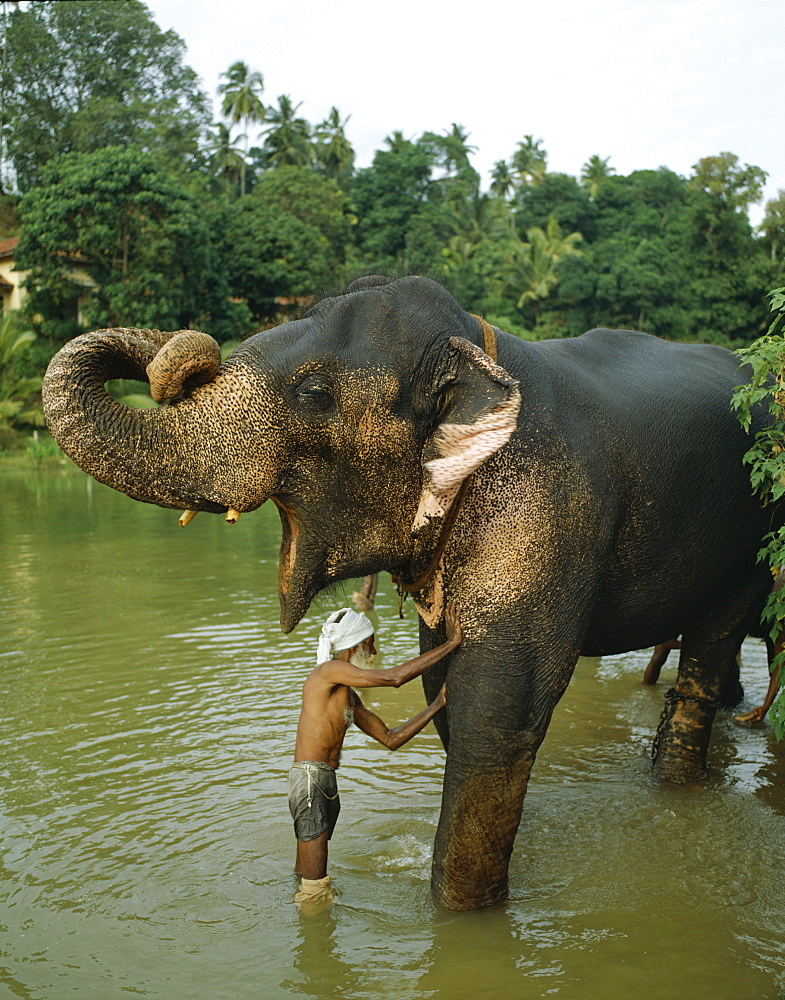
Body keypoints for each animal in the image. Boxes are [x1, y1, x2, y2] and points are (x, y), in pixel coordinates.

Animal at [44, 276, 784, 916]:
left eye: (314, 393)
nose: (177, 360)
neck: (476, 351)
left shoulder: (543, 511)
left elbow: (497, 715)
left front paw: (461, 919)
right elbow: (448, 698)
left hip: (752, 538)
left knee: (710, 649)